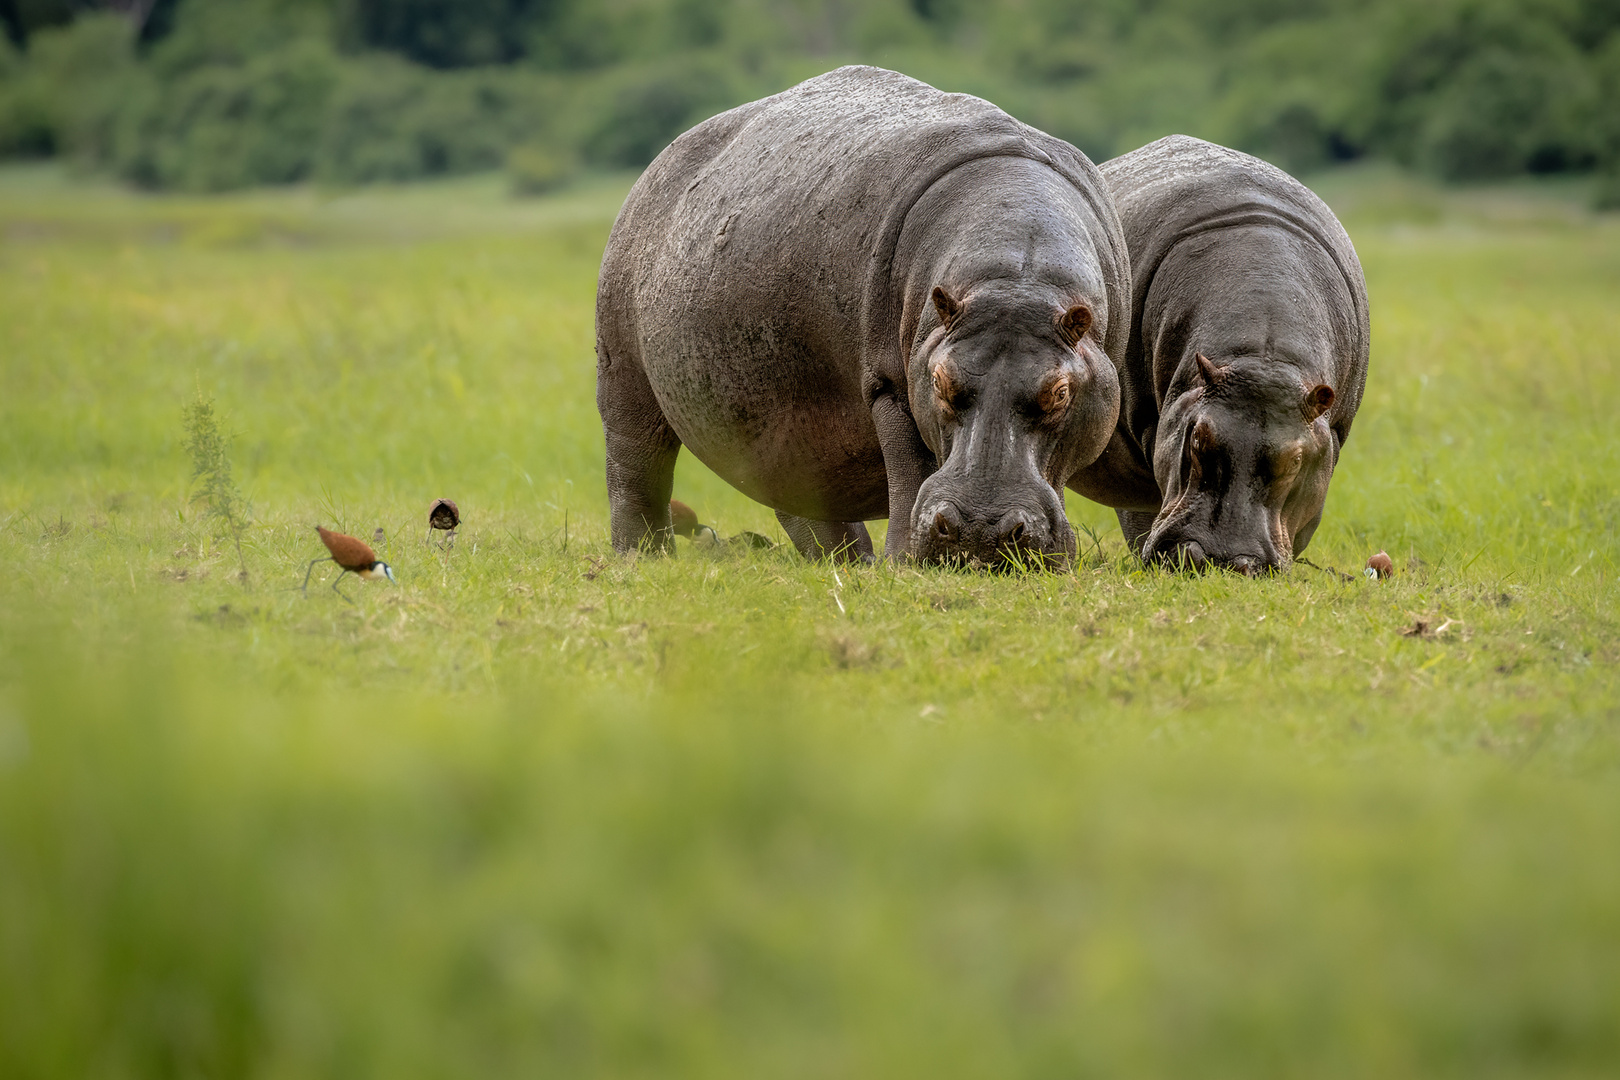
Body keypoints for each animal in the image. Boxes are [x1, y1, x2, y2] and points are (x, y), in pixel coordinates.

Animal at [596, 65, 1127, 566]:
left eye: (1061, 393)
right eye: (939, 382)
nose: (981, 532)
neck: (1015, 278)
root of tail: (662, 159)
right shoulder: (891, 385)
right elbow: (909, 469)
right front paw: (905, 562)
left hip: (781, 419)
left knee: (801, 498)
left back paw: (849, 562)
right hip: (623, 374)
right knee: (635, 466)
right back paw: (642, 557)